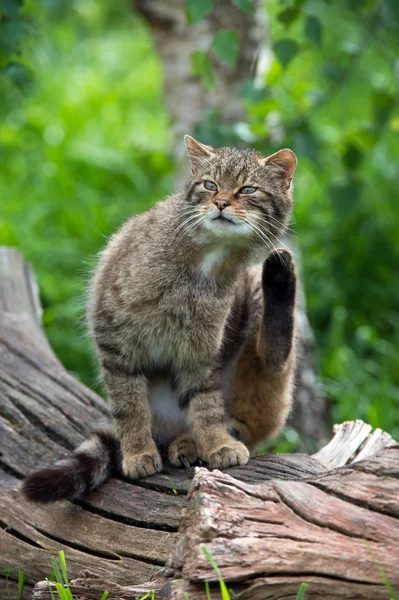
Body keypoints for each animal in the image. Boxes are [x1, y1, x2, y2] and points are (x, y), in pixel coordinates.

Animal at [21, 135, 296, 502]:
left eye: (247, 189)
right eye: (210, 185)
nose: (221, 203)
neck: (210, 256)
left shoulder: (200, 352)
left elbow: (207, 405)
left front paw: (216, 442)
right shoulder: (116, 338)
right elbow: (129, 406)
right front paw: (138, 451)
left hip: (253, 309)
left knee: (271, 364)